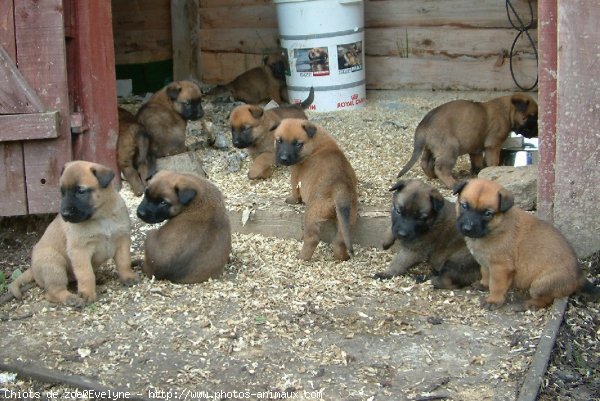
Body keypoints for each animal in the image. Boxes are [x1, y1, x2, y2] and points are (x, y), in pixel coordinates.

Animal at [8, 161, 140, 304]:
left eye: (81, 191)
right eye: (62, 192)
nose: (65, 214)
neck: (101, 217)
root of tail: (32, 268)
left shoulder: (122, 240)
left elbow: (124, 262)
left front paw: (128, 277)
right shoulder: (80, 250)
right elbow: (86, 274)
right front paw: (87, 293)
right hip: (54, 264)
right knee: (52, 292)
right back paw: (71, 298)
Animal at [274, 118, 358, 260]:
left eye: (298, 144)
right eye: (279, 141)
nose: (283, 159)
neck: (315, 144)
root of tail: (339, 187)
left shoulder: (295, 176)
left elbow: (295, 192)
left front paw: (291, 200)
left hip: (312, 214)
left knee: (312, 239)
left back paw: (302, 257)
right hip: (348, 217)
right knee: (339, 241)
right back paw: (343, 257)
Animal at [398, 93, 540, 188]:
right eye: (532, 116)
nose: (538, 132)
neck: (506, 110)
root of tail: (424, 125)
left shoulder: (475, 148)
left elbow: (477, 163)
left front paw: (477, 173)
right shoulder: (493, 145)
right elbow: (493, 161)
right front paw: (493, 170)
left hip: (430, 148)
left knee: (425, 163)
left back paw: (433, 176)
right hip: (450, 148)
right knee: (441, 168)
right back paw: (453, 184)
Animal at [454, 178, 600, 310]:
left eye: (487, 213)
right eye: (464, 205)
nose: (467, 228)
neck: (495, 227)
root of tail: (578, 275)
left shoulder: (500, 268)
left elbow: (496, 286)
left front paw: (493, 300)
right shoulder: (485, 263)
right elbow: (485, 274)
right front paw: (483, 285)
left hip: (539, 284)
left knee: (546, 299)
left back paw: (531, 304)